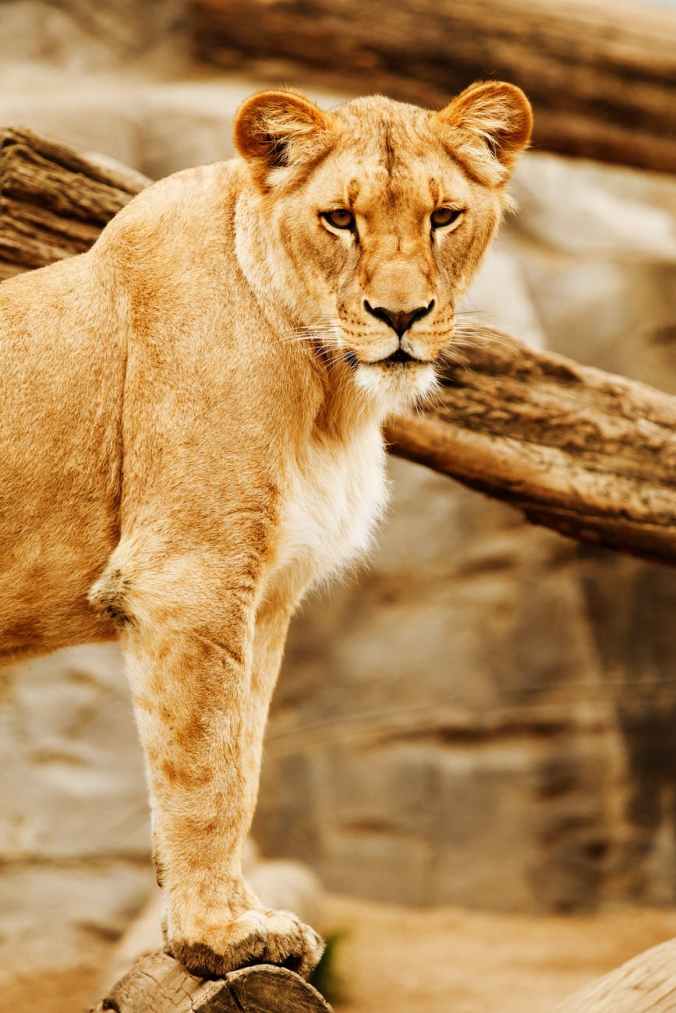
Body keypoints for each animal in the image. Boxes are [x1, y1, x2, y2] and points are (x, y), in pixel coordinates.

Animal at [0, 82, 532, 978]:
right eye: (340, 218)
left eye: (444, 215)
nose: (400, 315)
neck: (330, 392)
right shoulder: (189, 575)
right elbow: (206, 766)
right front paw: (220, 933)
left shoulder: (268, 595)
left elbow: (242, 755)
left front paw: (222, 917)